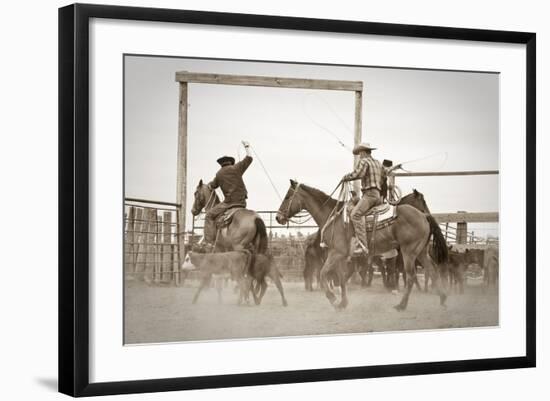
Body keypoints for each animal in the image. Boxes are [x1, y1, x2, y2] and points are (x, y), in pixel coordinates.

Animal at [278, 180, 450, 310]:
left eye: (287, 197)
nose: (278, 217)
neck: (332, 217)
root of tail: (423, 216)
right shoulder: (339, 255)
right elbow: (341, 278)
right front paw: (343, 303)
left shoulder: (336, 253)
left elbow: (322, 274)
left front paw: (332, 298)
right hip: (421, 252)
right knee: (432, 270)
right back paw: (442, 298)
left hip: (409, 252)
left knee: (411, 276)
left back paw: (402, 305)